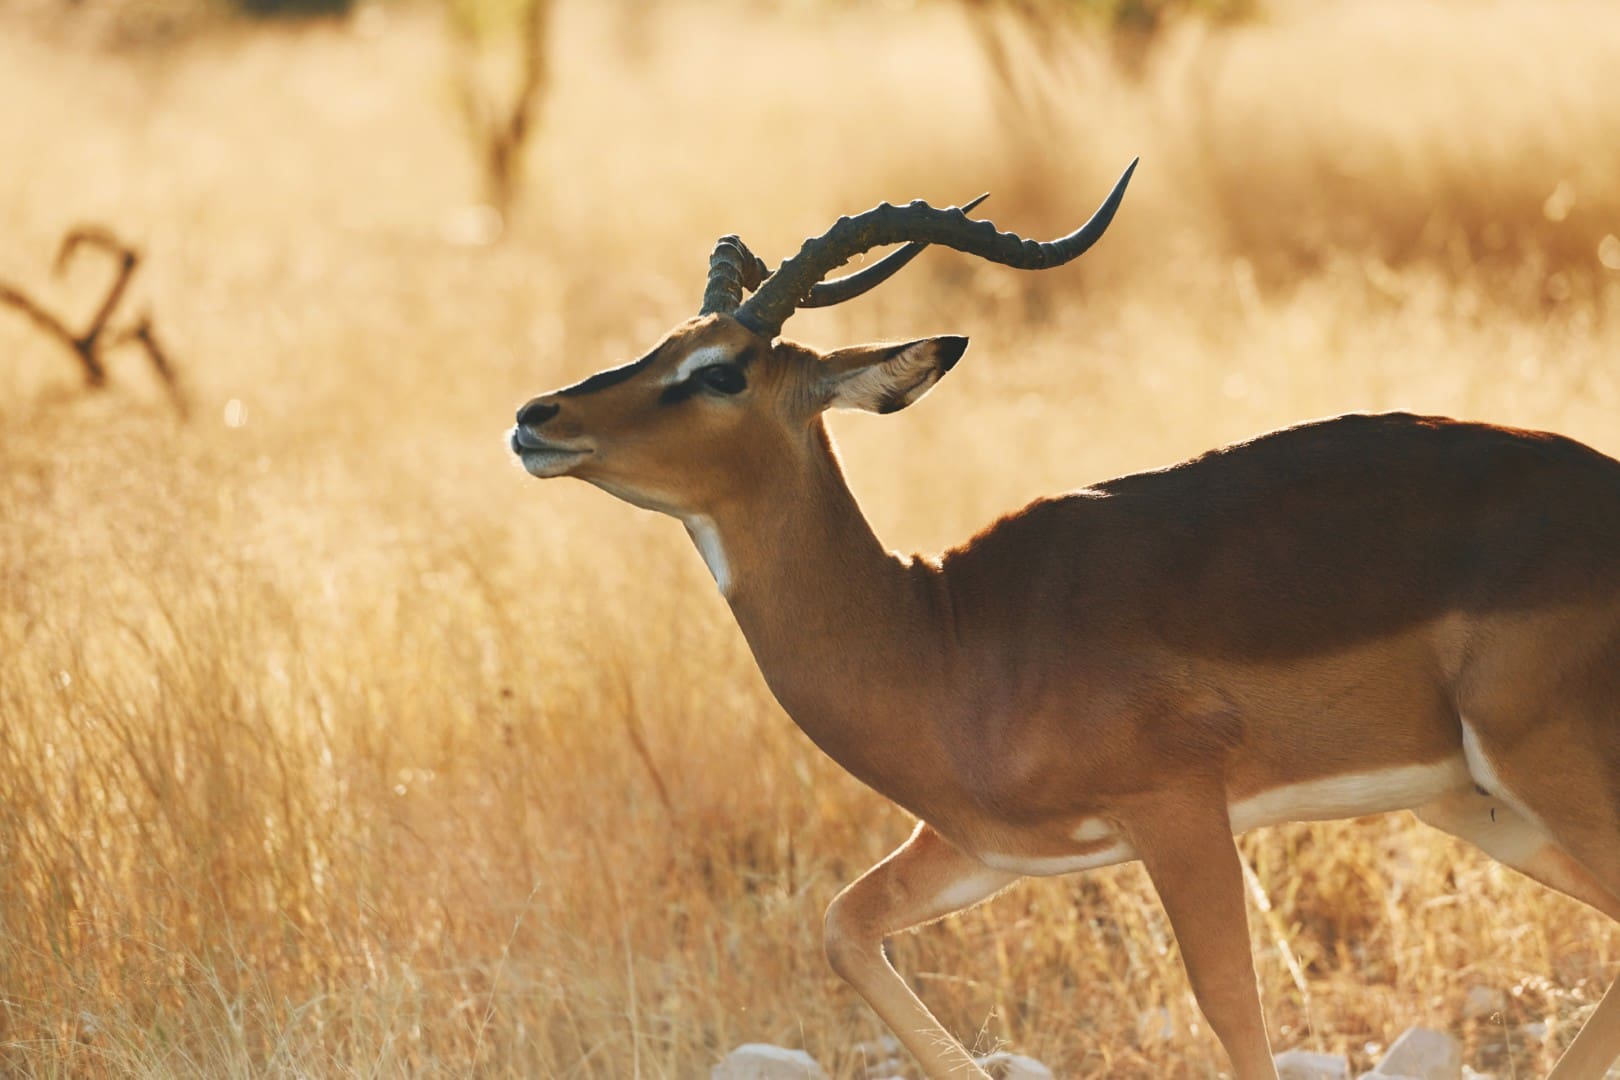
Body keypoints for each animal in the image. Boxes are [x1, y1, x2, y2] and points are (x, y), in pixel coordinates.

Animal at [508, 161, 1620, 1079]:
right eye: (661, 344)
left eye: (721, 370)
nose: (535, 418)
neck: (941, 636)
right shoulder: (982, 849)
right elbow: (841, 927)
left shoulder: (1179, 812)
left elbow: (1233, 1014)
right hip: (1477, 807)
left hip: (1543, 776)